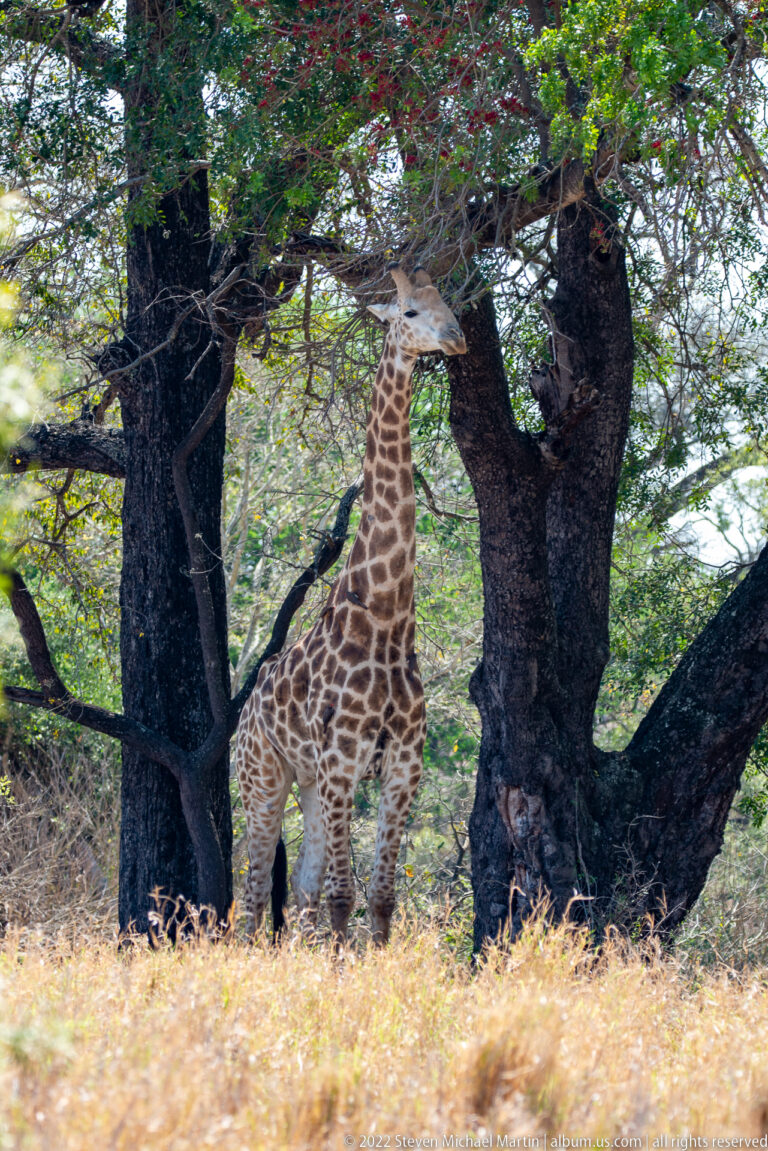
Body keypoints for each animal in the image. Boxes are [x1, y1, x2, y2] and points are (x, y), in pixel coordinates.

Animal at [235, 262, 466, 945]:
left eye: (450, 302)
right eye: (410, 313)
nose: (458, 338)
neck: (387, 617)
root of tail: (242, 715)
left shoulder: (402, 765)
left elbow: (380, 898)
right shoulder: (342, 760)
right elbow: (344, 895)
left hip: (309, 784)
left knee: (299, 889)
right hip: (265, 778)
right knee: (253, 889)